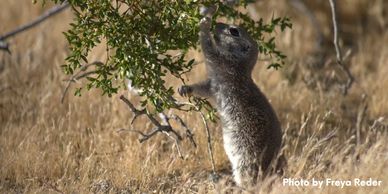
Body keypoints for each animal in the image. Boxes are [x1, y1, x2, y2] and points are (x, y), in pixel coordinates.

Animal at [179, 5, 284, 186]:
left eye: (234, 31)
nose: (218, 23)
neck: (239, 65)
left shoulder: (219, 61)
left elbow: (207, 45)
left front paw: (205, 20)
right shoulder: (213, 85)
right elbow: (201, 87)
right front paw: (185, 89)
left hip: (246, 160)